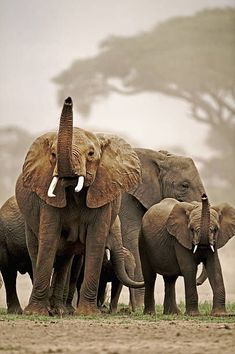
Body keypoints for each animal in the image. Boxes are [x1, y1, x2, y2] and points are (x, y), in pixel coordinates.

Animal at [15, 96, 143, 316]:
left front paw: (88, 313)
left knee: (65, 260)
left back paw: (60, 310)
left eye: (91, 154)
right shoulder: (46, 196)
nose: (68, 99)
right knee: (38, 250)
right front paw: (35, 313)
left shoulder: (102, 192)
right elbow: (48, 239)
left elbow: (96, 240)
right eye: (53, 155)